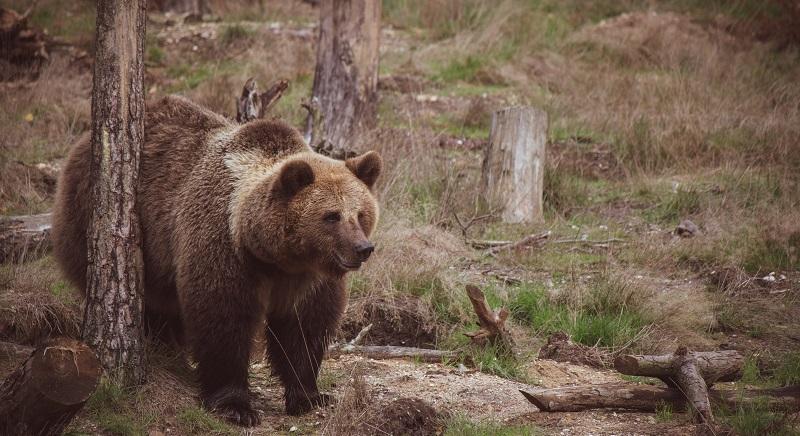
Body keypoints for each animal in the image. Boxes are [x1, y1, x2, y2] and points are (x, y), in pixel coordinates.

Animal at [51, 95, 382, 426]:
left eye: (360, 214)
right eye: (331, 216)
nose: (363, 248)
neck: (274, 256)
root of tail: (82, 143)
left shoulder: (308, 278)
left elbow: (304, 328)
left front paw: (310, 396)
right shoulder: (224, 246)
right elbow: (222, 317)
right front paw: (235, 405)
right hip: (99, 220)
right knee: (152, 303)